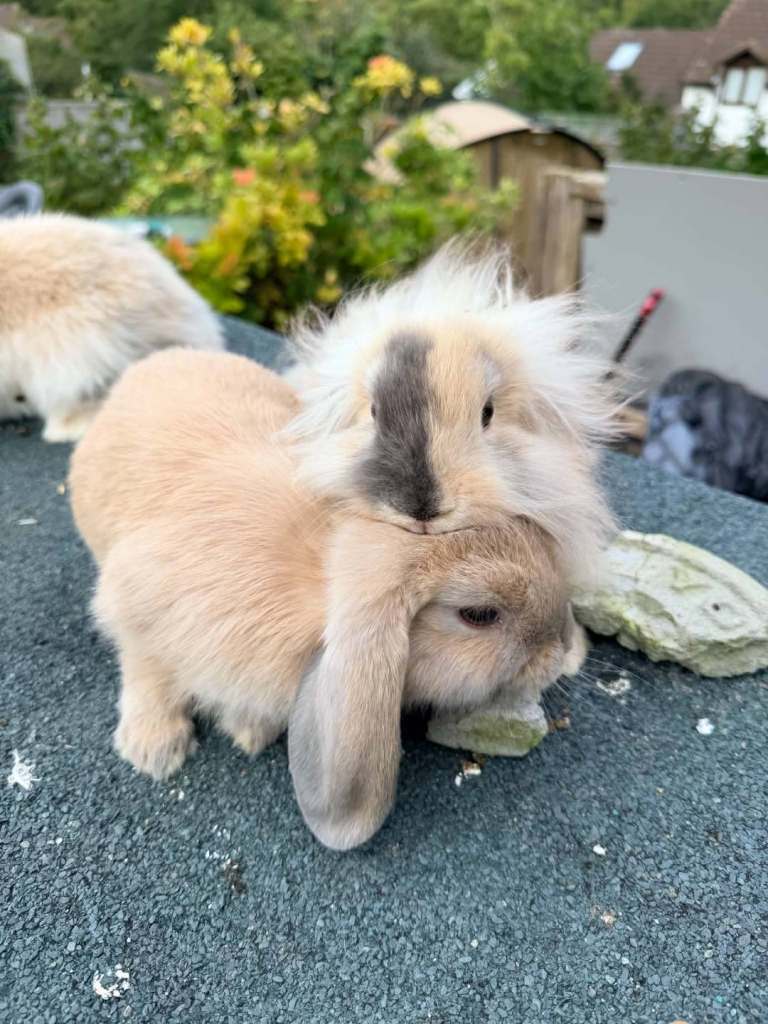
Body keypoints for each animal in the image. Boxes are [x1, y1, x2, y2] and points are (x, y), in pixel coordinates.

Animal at [69, 348, 582, 851]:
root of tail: (151, 363)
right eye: (479, 615)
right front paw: (155, 749)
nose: (560, 651)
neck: (317, 581)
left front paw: (249, 730)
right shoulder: (133, 599)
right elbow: (146, 669)